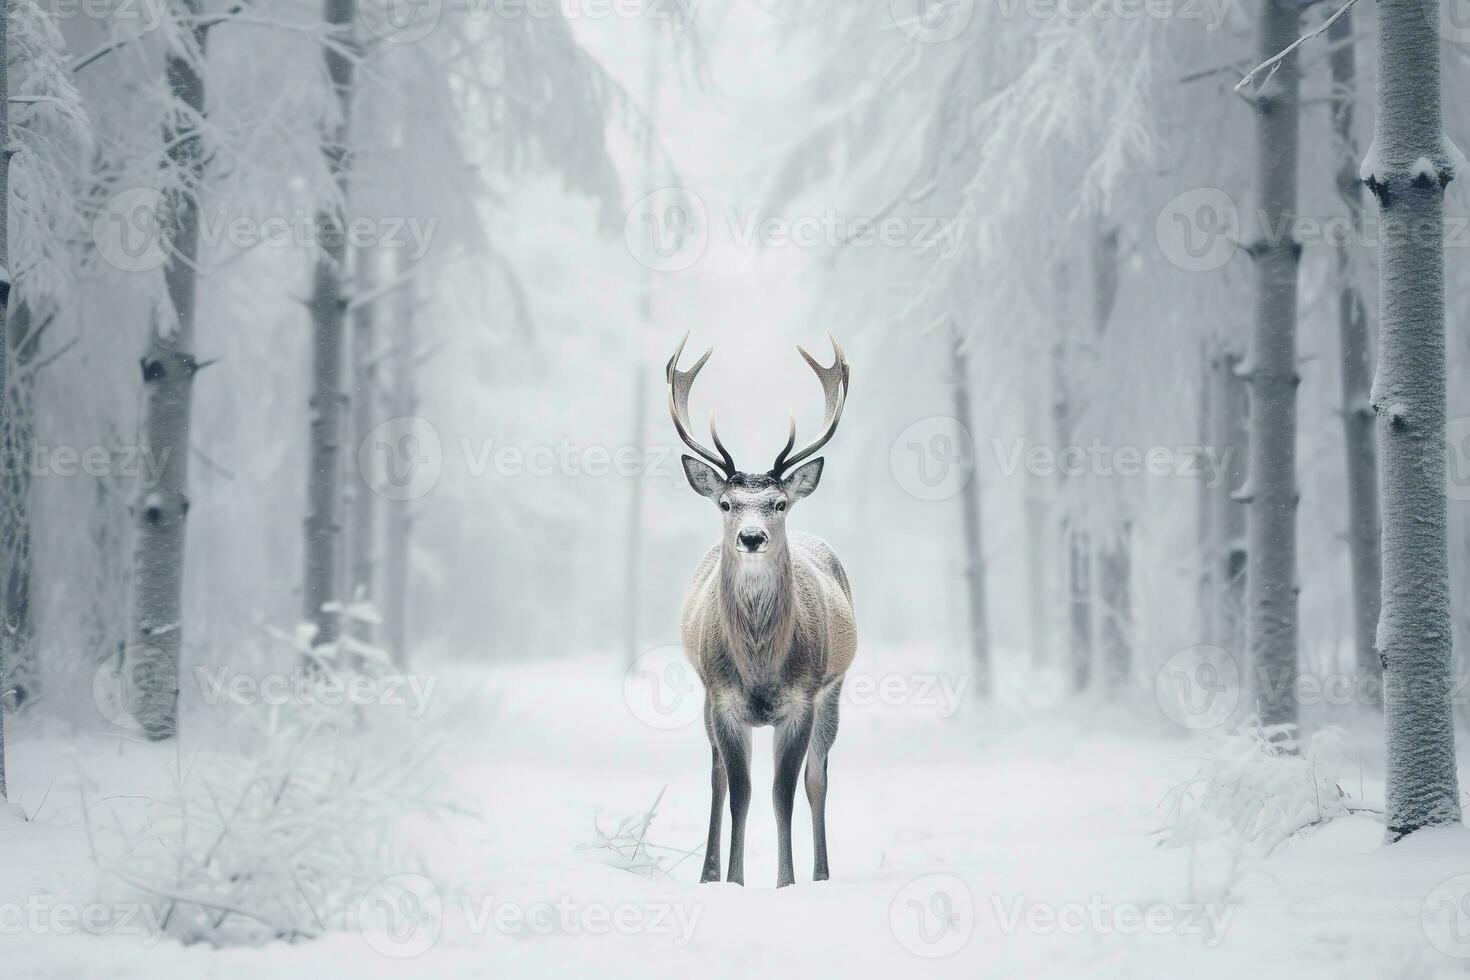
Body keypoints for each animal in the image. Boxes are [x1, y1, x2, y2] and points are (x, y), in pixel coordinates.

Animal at [664, 334, 858, 887]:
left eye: (779, 503)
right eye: (727, 504)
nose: (752, 537)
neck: (759, 669)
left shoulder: (802, 699)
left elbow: (783, 794)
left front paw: (786, 881)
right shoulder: (722, 698)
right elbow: (741, 792)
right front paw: (732, 880)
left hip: (834, 690)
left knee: (818, 778)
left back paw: (822, 874)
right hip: (708, 700)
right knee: (716, 778)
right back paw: (706, 873)